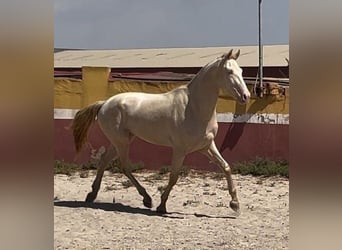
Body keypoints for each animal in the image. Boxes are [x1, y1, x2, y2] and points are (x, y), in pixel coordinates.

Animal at [71, 49, 251, 215]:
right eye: (229, 71)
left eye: (242, 71)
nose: (246, 96)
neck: (194, 108)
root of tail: (105, 103)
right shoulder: (180, 150)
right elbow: (174, 176)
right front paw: (161, 205)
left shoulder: (206, 146)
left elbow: (226, 167)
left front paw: (235, 204)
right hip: (121, 142)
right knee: (125, 167)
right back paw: (146, 199)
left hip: (120, 141)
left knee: (104, 161)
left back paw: (92, 194)